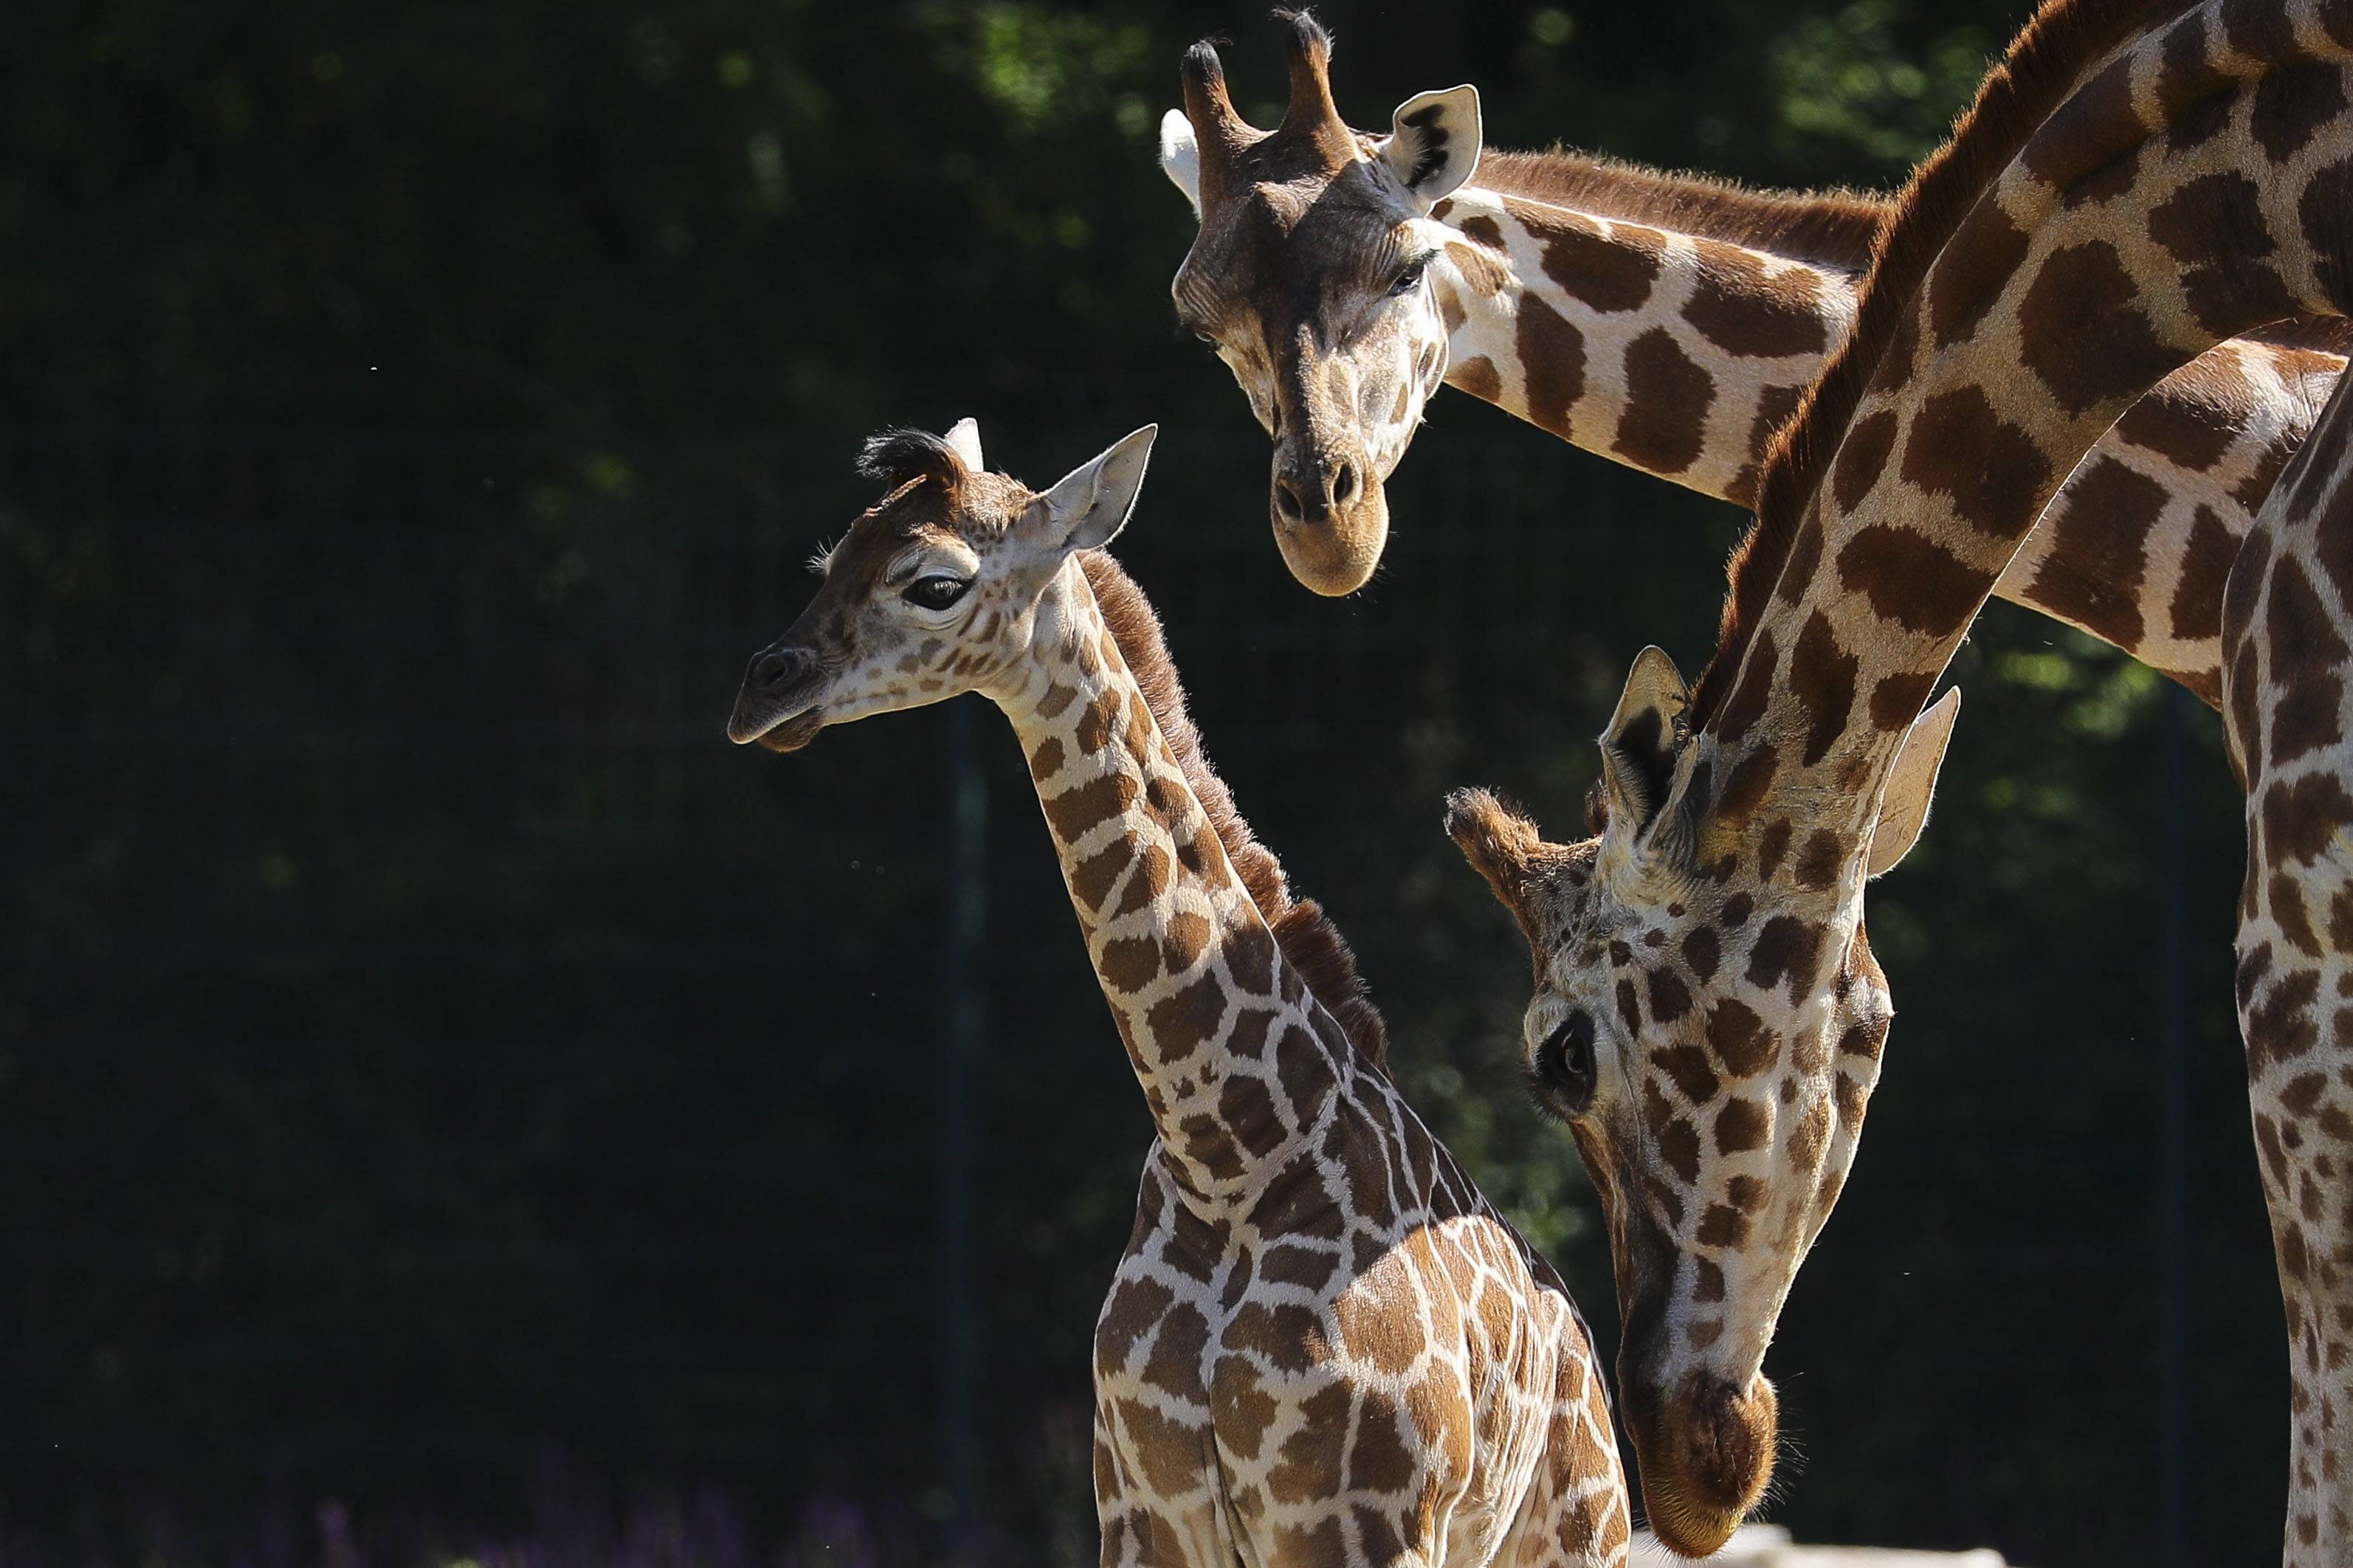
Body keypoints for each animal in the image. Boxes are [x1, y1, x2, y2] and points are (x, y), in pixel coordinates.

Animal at [724, 421, 1628, 1568]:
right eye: (831, 556)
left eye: (934, 583)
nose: (761, 690)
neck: (1227, 1154)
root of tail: (1588, 1366)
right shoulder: (1142, 1512)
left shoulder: (1360, 1523)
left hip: (1577, 1535)